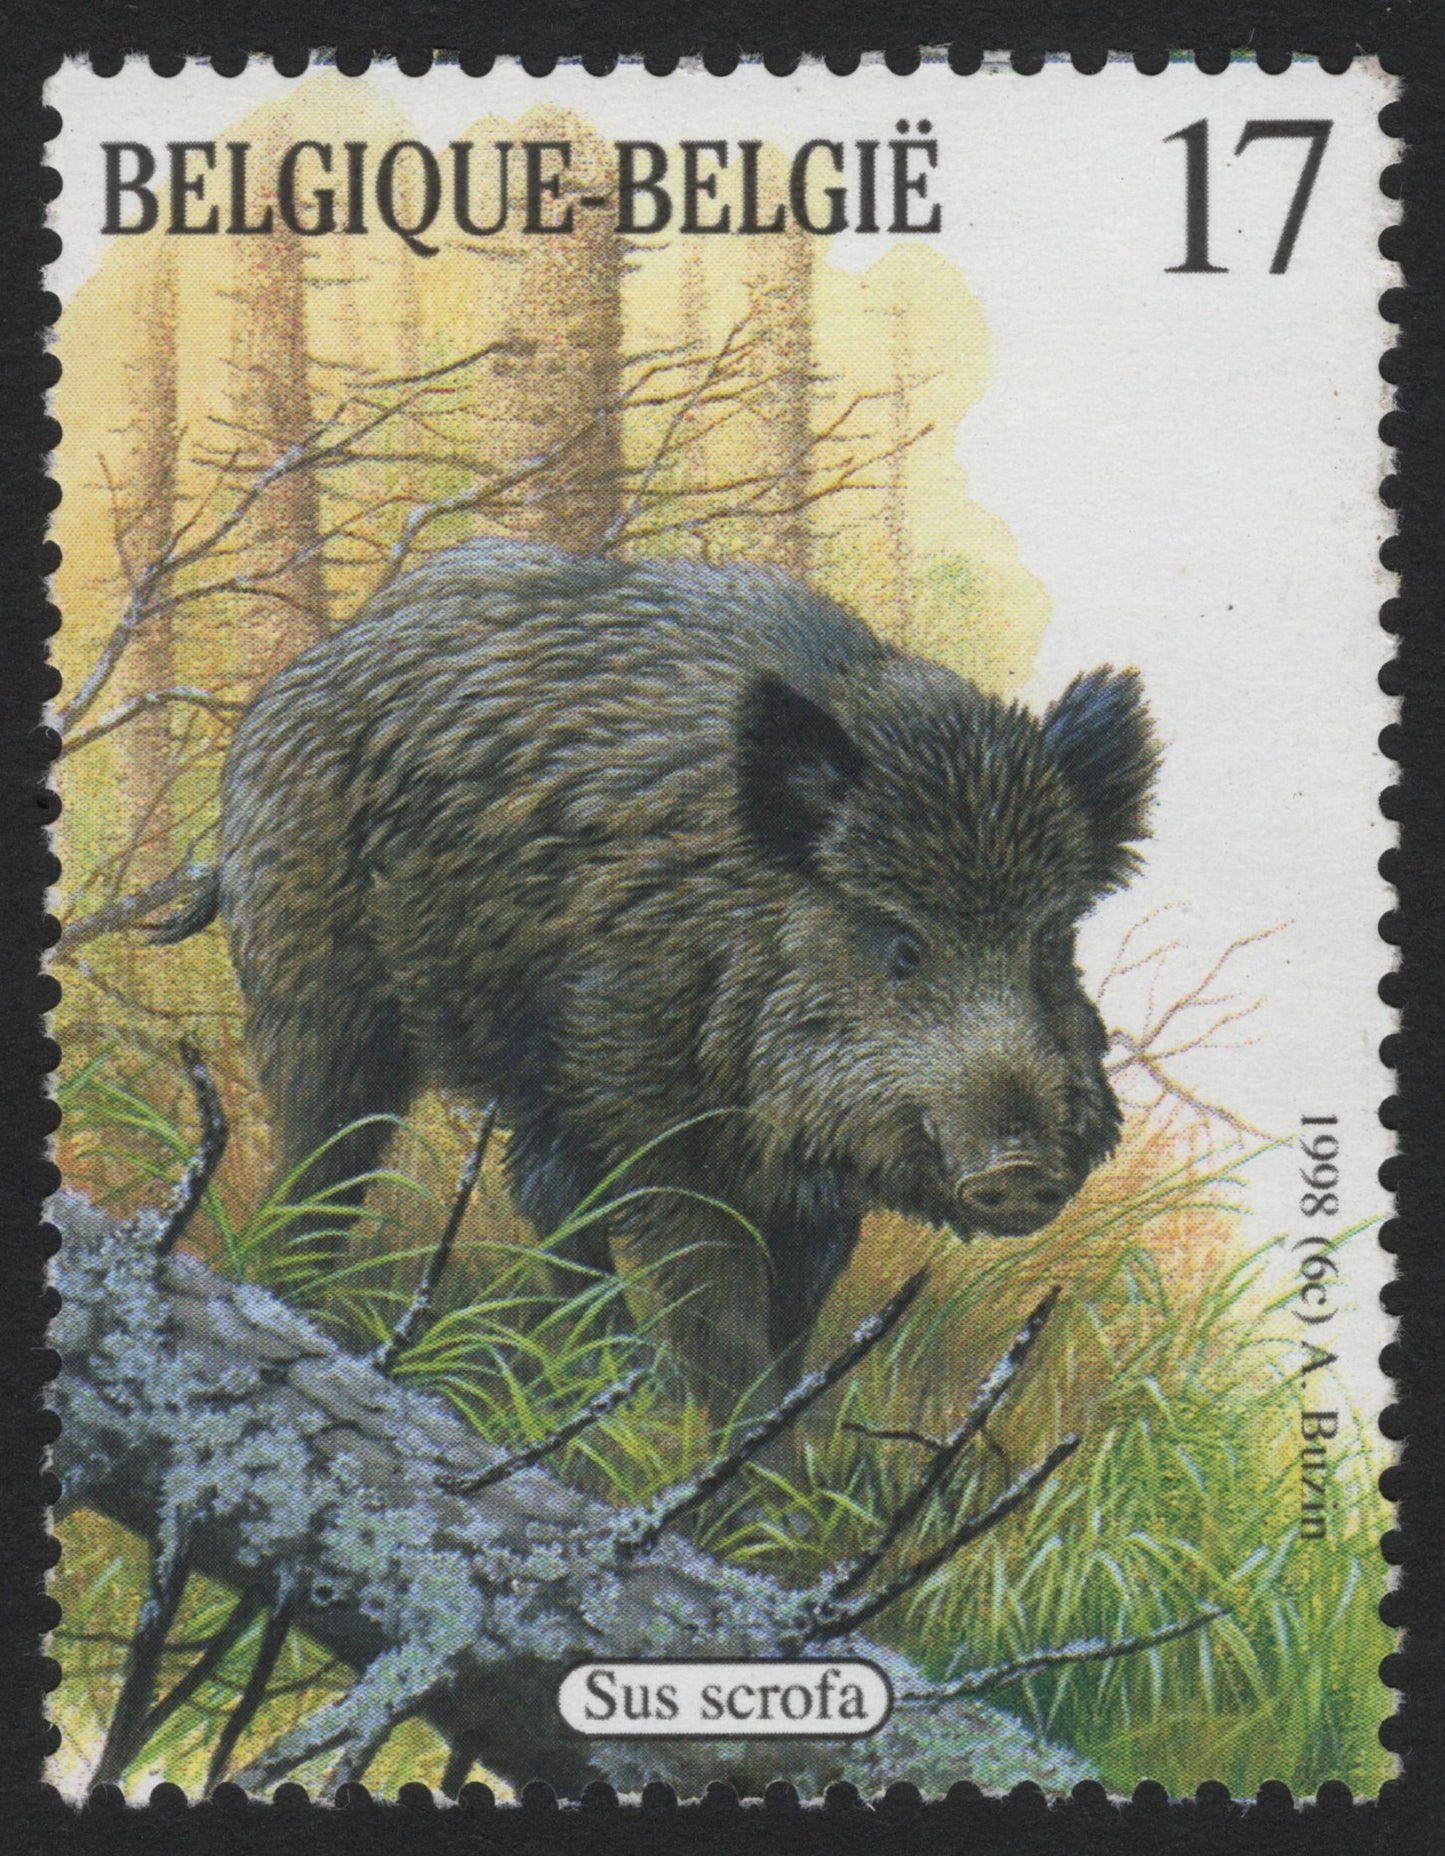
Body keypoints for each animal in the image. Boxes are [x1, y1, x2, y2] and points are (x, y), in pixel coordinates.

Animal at [156, 540, 1160, 1418]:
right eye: (901, 946)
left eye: (1053, 941)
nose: (1021, 1168)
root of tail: (309, 668)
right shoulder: (664, 1122)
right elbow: (719, 1318)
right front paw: (736, 1488)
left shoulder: (810, 1185)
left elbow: (789, 1330)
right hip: (318, 985)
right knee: (324, 1153)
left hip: (546, 1072)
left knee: (542, 1193)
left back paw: (602, 1379)